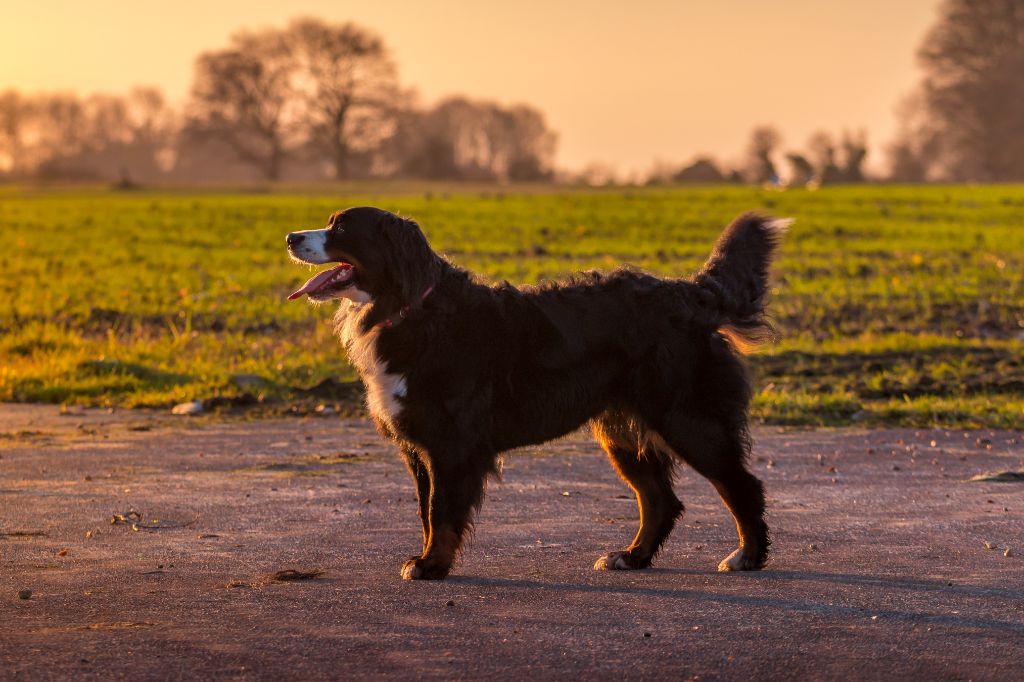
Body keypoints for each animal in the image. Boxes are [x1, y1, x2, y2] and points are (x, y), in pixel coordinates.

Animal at [284, 206, 786, 577]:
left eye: (341, 227)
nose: (289, 236)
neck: (411, 309)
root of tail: (690, 294)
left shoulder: (451, 445)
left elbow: (442, 511)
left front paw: (431, 565)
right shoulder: (419, 449)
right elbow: (427, 511)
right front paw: (428, 559)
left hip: (685, 418)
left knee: (740, 485)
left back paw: (747, 556)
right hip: (620, 431)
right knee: (661, 500)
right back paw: (632, 556)